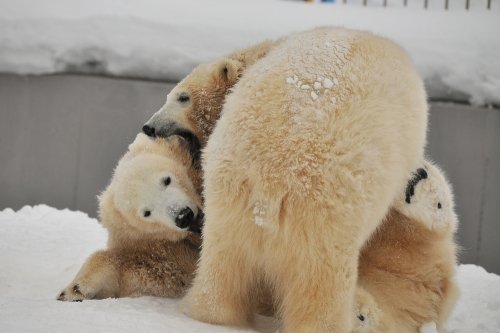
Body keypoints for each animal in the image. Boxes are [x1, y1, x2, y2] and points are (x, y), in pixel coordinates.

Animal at [161, 27, 426, 330]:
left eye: (181, 96)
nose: (149, 127)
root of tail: (270, 179)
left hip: (228, 202)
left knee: (223, 264)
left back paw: (210, 313)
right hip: (324, 218)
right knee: (321, 282)